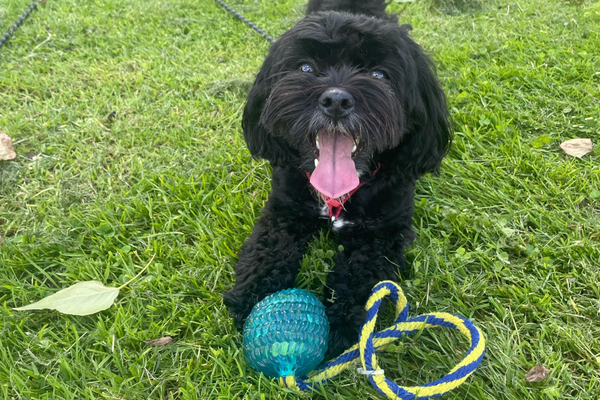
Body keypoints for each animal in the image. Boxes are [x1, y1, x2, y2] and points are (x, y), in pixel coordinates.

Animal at [225, 0, 450, 356]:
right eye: (305, 68)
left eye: (378, 75)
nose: (335, 100)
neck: (337, 195)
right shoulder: (282, 210)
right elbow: (268, 248)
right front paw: (254, 295)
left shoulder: (382, 233)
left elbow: (360, 277)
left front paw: (343, 322)